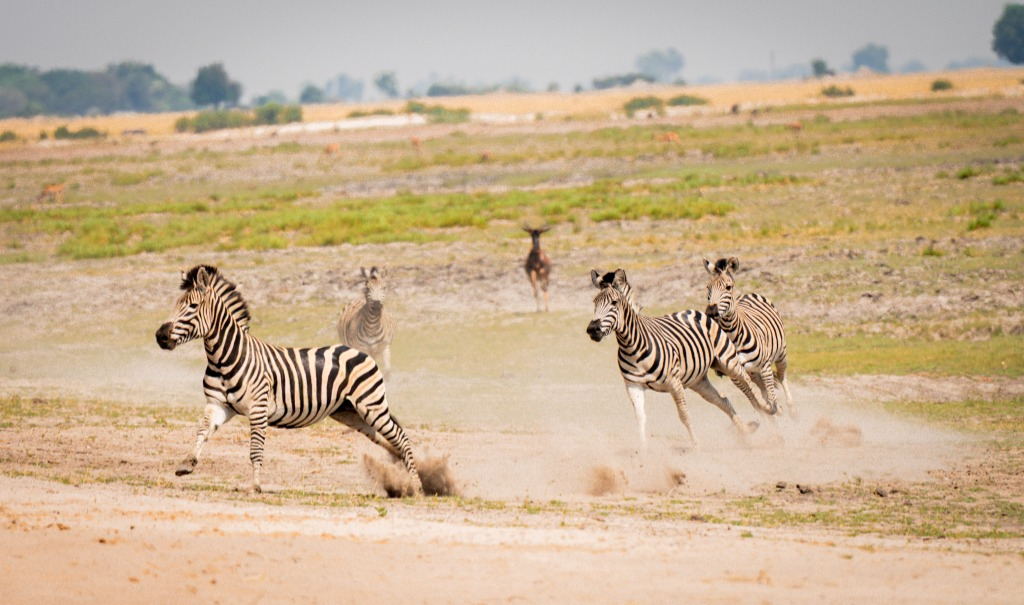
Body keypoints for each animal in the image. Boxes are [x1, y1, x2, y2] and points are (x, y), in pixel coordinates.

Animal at [155, 265, 421, 495]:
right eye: (175, 305)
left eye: (192, 306)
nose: (160, 336)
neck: (224, 356)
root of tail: (361, 352)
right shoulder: (217, 405)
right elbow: (202, 431)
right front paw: (187, 463)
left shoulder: (258, 408)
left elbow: (255, 450)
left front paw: (255, 486)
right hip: (350, 412)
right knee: (388, 440)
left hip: (370, 404)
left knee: (401, 437)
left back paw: (417, 486)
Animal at [587, 270, 776, 449]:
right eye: (594, 303)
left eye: (614, 303)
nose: (592, 329)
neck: (632, 346)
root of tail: (698, 311)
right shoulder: (634, 386)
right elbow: (640, 419)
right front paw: (643, 453)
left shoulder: (674, 383)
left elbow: (684, 416)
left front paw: (696, 447)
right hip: (698, 380)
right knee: (722, 400)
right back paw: (746, 430)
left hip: (727, 361)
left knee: (747, 381)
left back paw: (768, 407)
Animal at [704, 257, 796, 417]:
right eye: (709, 288)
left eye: (728, 287)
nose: (711, 312)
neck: (732, 336)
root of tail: (747, 294)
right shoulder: (735, 376)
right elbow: (756, 402)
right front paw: (769, 411)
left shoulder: (765, 367)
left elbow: (770, 397)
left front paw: (775, 410)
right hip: (753, 372)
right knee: (762, 387)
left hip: (781, 354)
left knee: (782, 376)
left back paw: (791, 410)